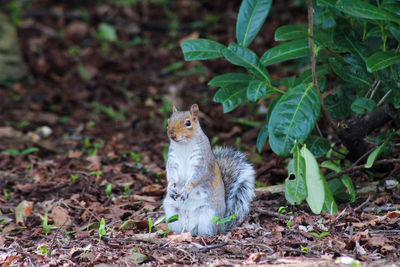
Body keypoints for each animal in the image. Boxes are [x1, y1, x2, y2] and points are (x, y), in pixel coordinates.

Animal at [163, 104, 255, 237]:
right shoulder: (172, 161)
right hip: (172, 212)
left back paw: (204, 236)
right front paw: (170, 187)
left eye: (188, 123)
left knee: (207, 231)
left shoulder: (202, 162)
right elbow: (171, 175)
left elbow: (197, 177)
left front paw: (186, 189)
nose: (172, 134)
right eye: (168, 122)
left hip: (209, 215)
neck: (184, 145)